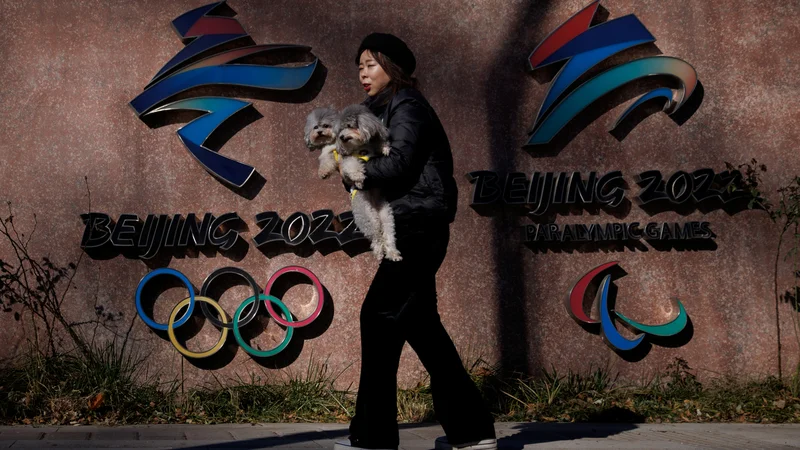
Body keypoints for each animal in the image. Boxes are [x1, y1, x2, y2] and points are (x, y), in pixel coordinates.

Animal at [336, 103, 404, 262]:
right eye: (340, 130)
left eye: (349, 126)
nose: (341, 137)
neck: (361, 147)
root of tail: (375, 209)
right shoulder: (348, 161)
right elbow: (352, 166)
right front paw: (359, 179)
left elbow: (379, 145)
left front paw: (385, 147)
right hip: (367, 217)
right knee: (376, 237)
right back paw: (379, 252)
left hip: (387, 217)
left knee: (388, 235)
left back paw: (392, 253)